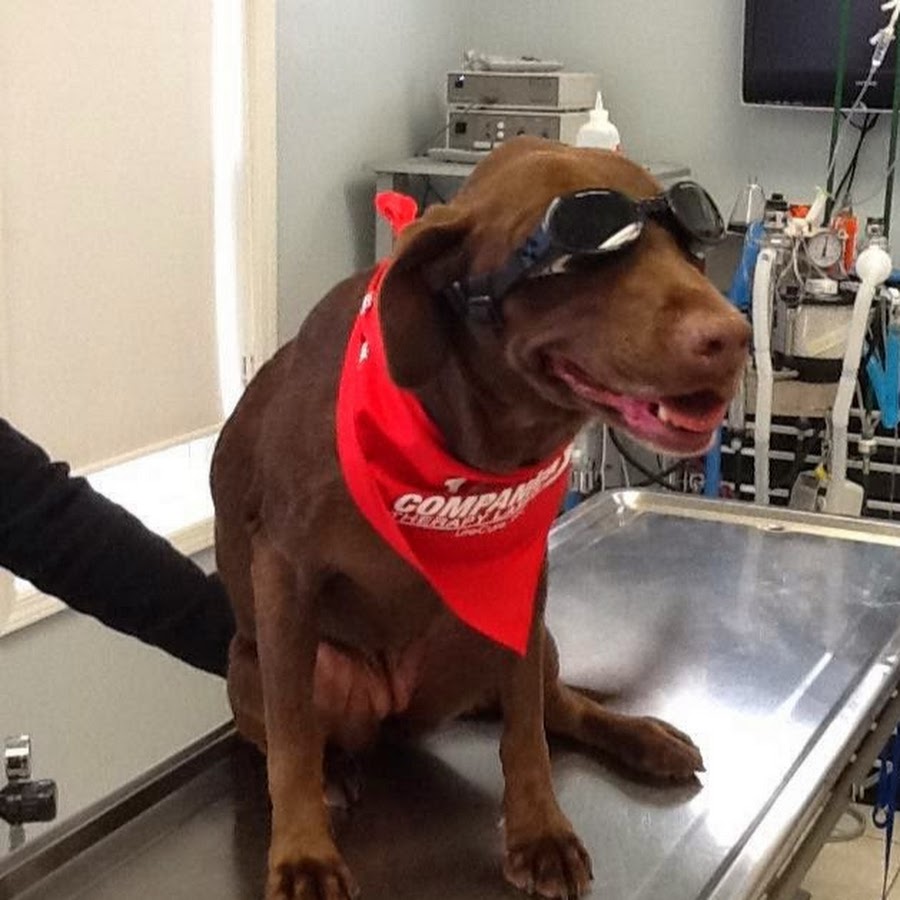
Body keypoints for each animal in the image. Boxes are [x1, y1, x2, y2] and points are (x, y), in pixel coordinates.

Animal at [211, 136, 750, 900]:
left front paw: (539, 831)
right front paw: (302, 854)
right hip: (264, 669)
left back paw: (640, 737)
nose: (732, 337)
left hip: (517, 637)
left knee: (560, 707)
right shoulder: (283, 571)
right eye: (585, 255)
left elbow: (527, 730)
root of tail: (405, 714)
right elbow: (291, 739)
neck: (472, 444)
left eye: (688, 245)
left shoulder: (522, 578)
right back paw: (336, 772)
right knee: (301, 735)